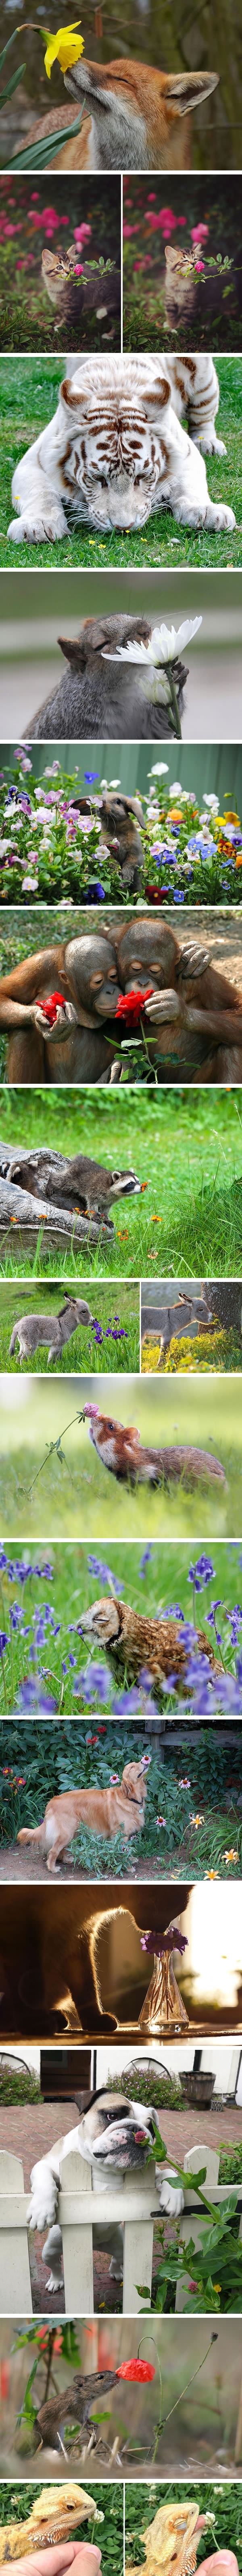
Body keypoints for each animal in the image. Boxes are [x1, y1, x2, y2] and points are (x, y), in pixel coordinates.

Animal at [8, 355, 234, 546]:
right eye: (98, 479)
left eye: (142, 477)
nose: (123, 527)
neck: (115, 388)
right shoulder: (33, 462)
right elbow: (41, 493)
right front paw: (37, 526)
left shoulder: (186, 454)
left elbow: (189, 487)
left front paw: (206, 512)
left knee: (203, 419)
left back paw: (209, 444)